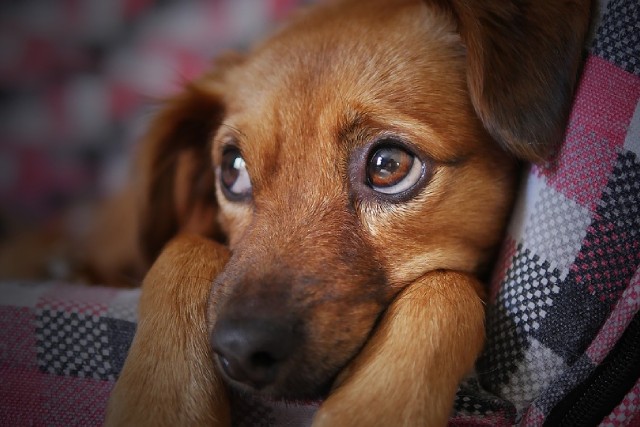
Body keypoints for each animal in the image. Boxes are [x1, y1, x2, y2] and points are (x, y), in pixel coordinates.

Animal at [104, 1, 592, 426]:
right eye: (232, 170)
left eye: (388, 165)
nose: (240, 351)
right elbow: (183, 246)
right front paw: (161, 402)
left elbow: (445, 287)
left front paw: (373, 407)